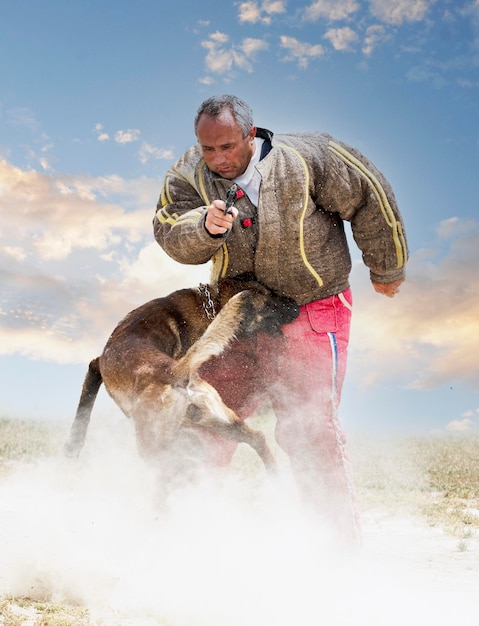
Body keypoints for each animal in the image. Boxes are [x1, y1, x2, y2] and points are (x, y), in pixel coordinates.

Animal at [62, 274, 296, 478]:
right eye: (269, 303)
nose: (295, 305)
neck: (210, 303)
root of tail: (171, 370)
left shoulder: (95, 366)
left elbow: (83, 410)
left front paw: (72, 448)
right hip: (216, 420)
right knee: (257, 438)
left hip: (156, 446)